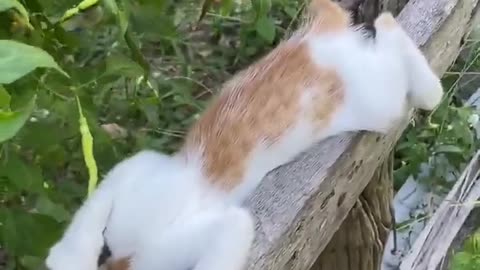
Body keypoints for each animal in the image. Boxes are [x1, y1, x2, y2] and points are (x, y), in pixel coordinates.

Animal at [45, 0, 442, 270]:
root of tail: (321, 37)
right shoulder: (141, 168)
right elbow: (89, 214)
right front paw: (67, 257)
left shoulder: (174, 240)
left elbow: (230, 233)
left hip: (377, 97)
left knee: (427, 92)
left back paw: (388, 26)